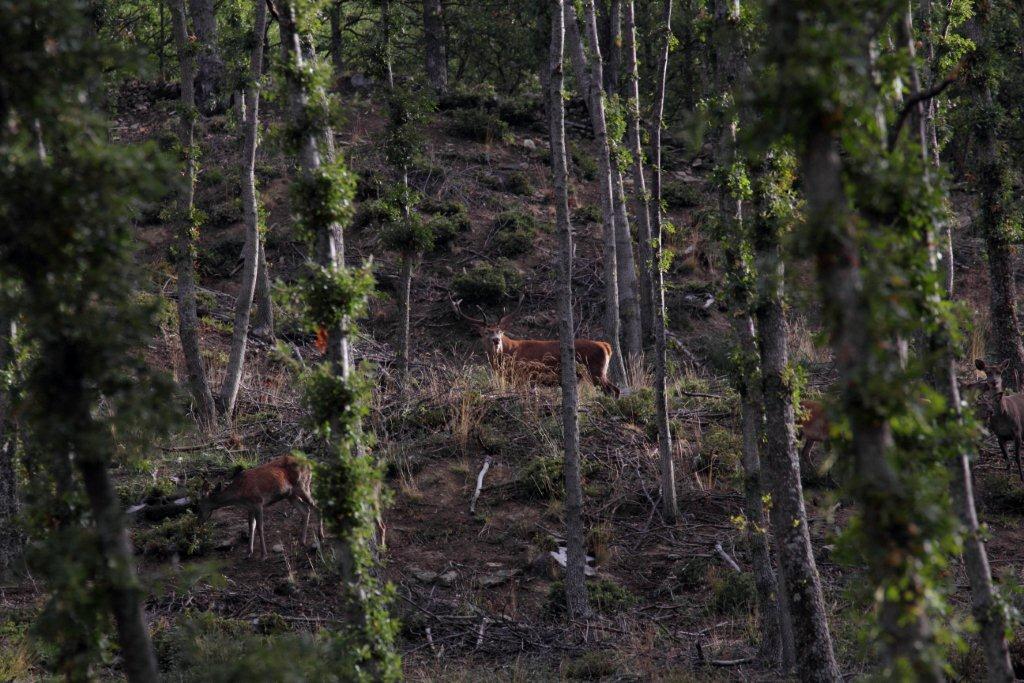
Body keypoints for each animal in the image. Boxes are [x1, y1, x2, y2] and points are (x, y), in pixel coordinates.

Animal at [454, 296, 614, 397]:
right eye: (486, 332)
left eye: (500, 331)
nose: (496, 340)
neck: (508, 353)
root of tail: (605, 346)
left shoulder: (522, 374)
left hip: (595, 371)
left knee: (613, 390)